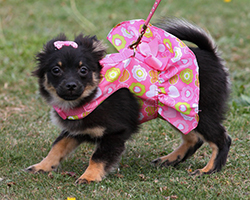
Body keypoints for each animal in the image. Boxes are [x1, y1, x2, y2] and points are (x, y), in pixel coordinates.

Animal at [26, 18, 231, 184]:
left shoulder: (115, 132)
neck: (92, 95)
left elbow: (97, 157)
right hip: (176, 113)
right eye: (56, 70)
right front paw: (42, 166)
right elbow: (58, 146)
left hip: (200, 112)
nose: (70, 85)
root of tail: (211, 54)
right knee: (193, 138)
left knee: (222, 139)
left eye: (83, 70)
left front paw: (89, 177)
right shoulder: (76, 128)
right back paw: (170, 159)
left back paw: (208, 170)